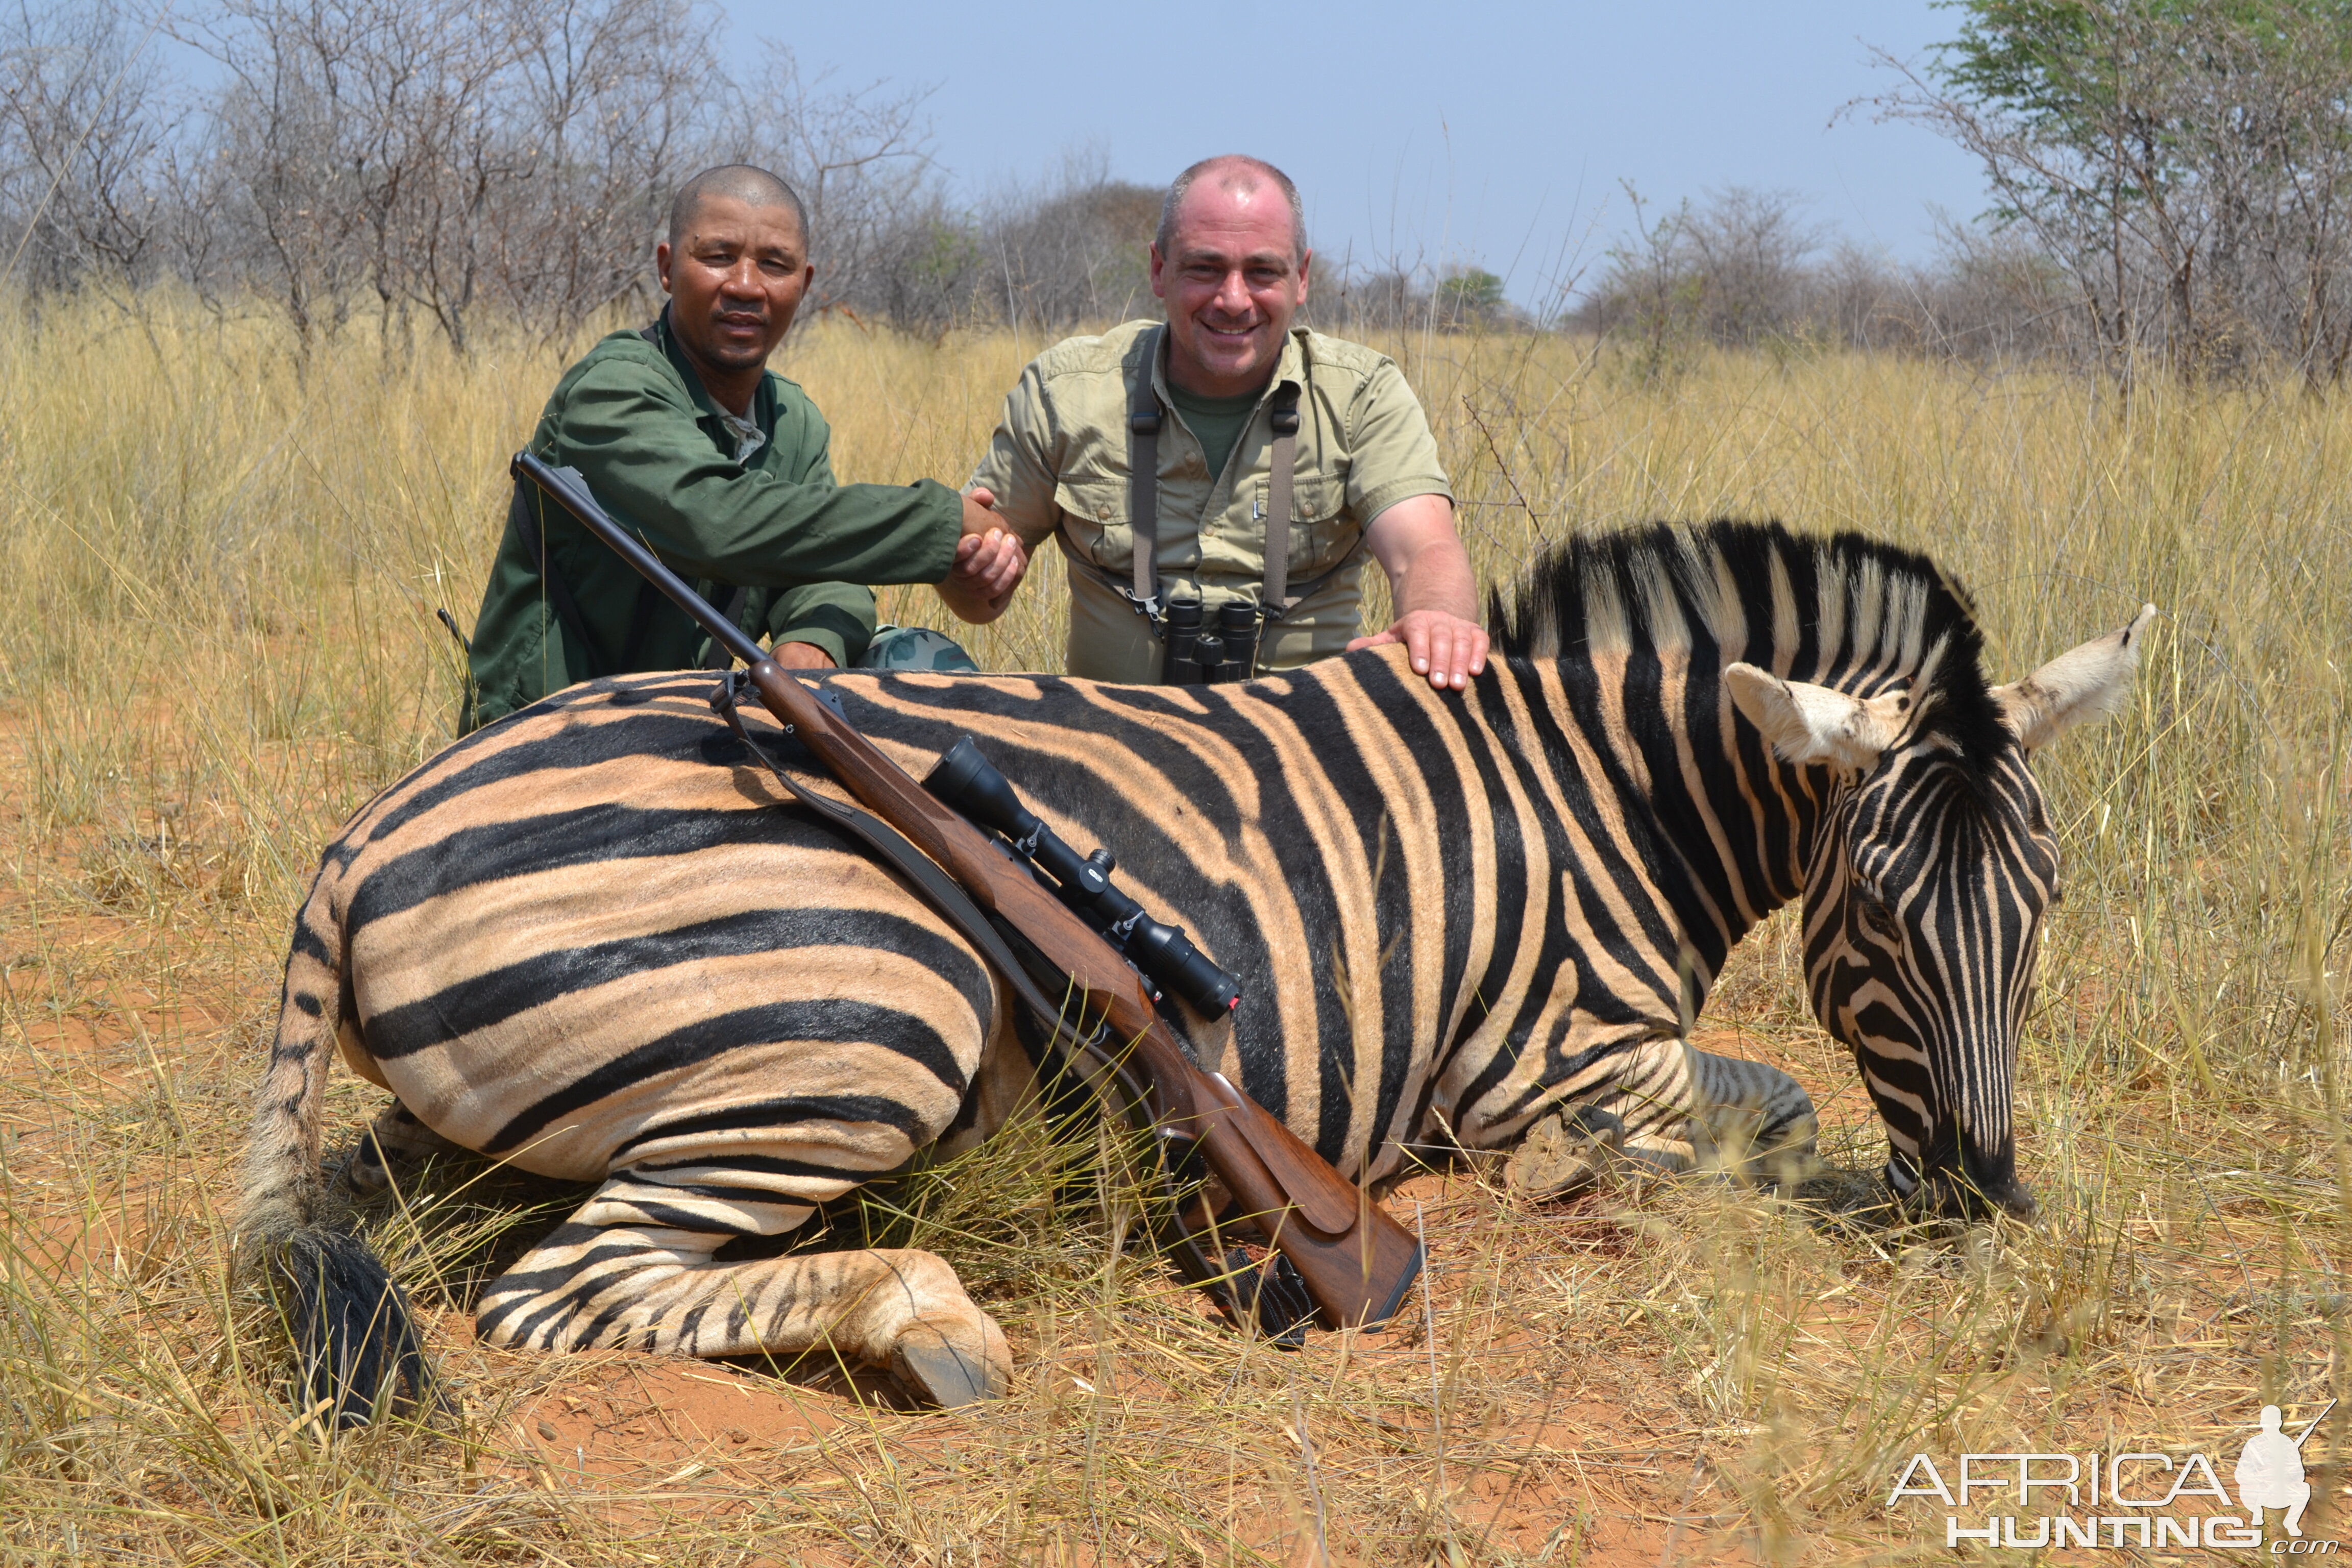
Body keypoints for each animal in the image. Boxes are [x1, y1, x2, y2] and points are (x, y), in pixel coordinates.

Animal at [238, 517, 2154, 1419]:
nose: (1983, 1198)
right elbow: (1762, 1114)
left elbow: (1769, 1113)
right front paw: (1587, 1179)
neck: (1597, 791)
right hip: (883, 1011)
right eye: (1880, 913)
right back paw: (930, 1319)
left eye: (2045, 898)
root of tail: (361, 834)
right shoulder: (1545, 1059)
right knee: (558, 1289)